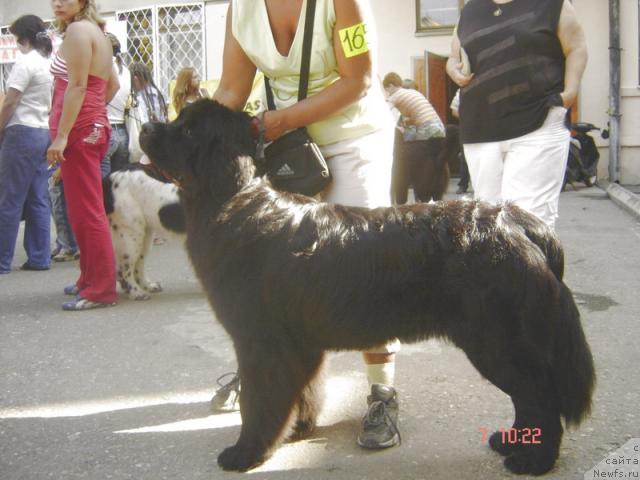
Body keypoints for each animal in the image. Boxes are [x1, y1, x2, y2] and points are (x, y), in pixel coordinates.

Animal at [139, 101, 596, 476]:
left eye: (188, 130)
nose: (144, 127)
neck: (235, 203)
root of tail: (512, 219)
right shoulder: (297, 345)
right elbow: (302, 392)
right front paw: (297, 430)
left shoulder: (260, 343)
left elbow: (259, 402)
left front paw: (247, 452)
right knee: (531, 398)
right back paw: (512, 444)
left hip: (498, 341)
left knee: (540, 398)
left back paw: (533, 460)